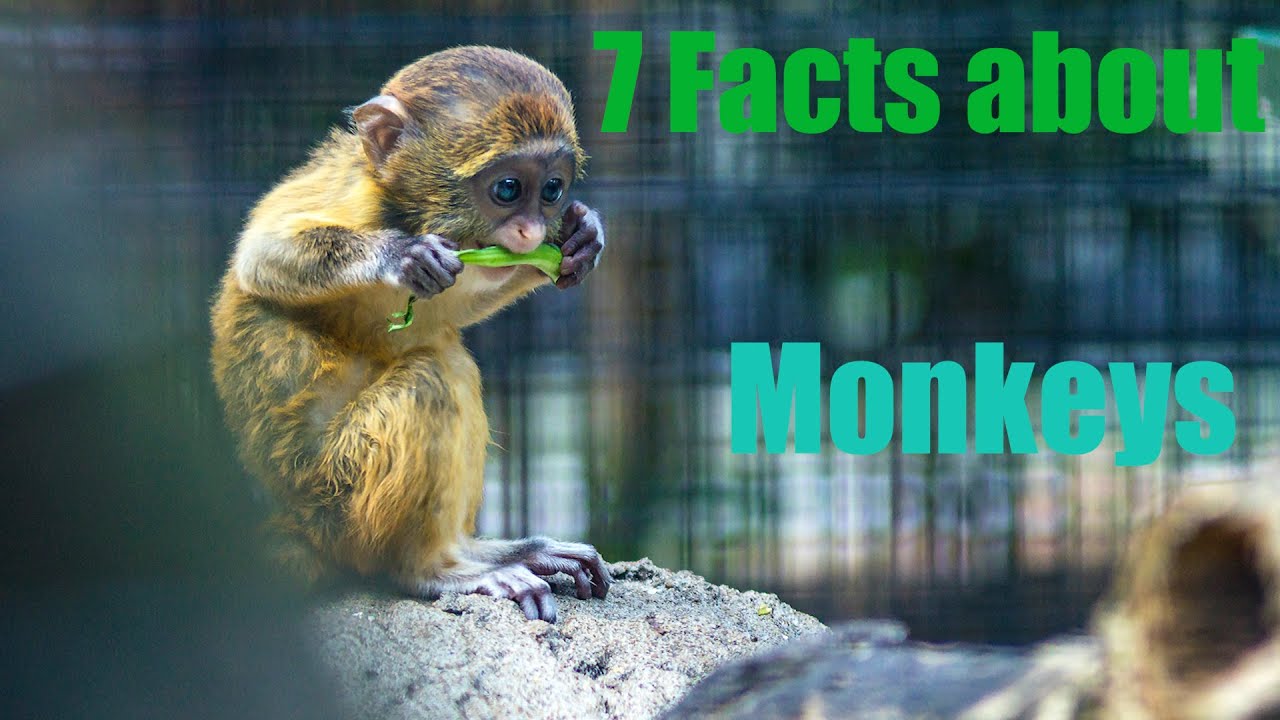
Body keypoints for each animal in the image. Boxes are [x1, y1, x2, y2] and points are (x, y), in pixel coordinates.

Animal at [210, 46, 609, 623]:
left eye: (552, 190)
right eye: (508, 189)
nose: (533, 232)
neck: (407, 211)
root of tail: (300, 523)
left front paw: (582, 237)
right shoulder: (354, 197)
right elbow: (261, 256)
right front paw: (400, 256)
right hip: (339, 497)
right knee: (432, 378)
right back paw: (431, 568)